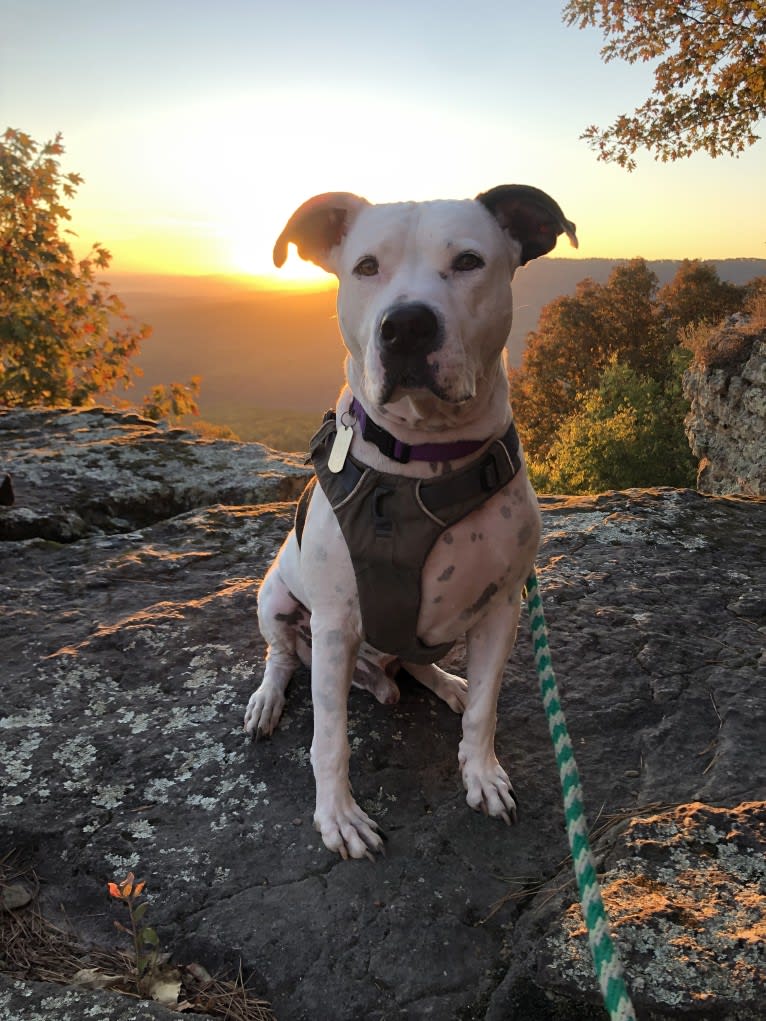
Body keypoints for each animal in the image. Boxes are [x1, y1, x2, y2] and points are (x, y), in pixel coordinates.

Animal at [244, 183, 576, 853]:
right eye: (366, 267)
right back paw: (267, 699)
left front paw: (482, 774)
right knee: (282, 655)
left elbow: (486, 710)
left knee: (419, 663)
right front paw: (339, 816)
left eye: (470, 261)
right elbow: (329, 739)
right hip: (275, 599)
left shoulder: (504, 609)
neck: (423, 462)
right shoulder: (336, 624)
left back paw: (446, 683)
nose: (407, 325)